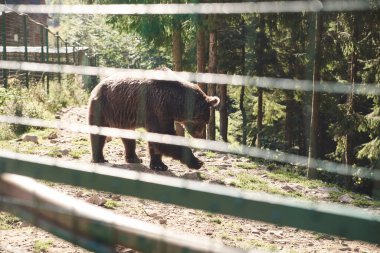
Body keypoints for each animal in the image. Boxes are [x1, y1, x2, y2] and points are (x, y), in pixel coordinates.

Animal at [88, 73, 220, 172]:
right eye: (204, 121)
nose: (199, 134)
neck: (175, 103)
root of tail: (97, 86)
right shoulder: (158, 108)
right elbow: (164, 137)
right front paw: (197, 162)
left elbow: (157, 140)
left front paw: (159, 165)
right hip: (104, 107)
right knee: (98, 133)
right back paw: (99, 158)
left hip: (122, 115)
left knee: (129, 137)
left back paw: (134, 158)